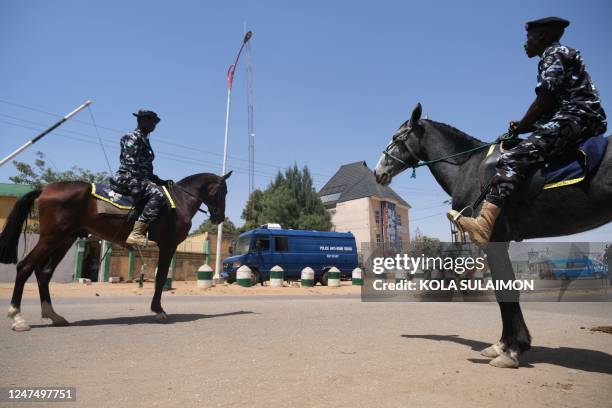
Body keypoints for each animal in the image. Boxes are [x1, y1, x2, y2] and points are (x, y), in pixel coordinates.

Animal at [0, 171, 232, 330]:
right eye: (223, 191)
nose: (219, 217)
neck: (179, 200)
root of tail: (45, 189)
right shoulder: (168, 245)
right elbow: (160, 278)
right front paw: (158, 310)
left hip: (65, 239)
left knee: (44, 273)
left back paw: (54, 315)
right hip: (52, 237)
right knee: (25, 267)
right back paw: (17, 317)